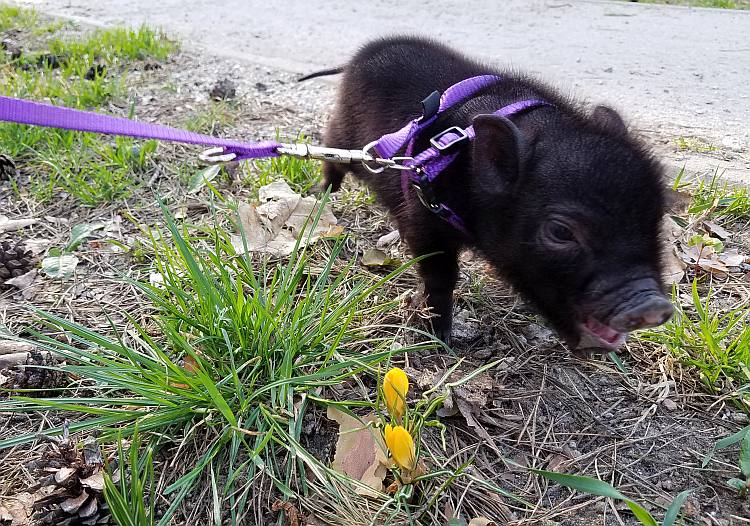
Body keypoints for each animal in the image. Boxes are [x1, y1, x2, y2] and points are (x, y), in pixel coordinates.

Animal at [301, 36, 673, 349]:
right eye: (560, 231)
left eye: (658, 216)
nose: (654, 304)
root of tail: (358, 57)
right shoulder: (424, 217)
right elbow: (441, 276)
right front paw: (441, 339)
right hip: (344, 135)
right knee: (331, 151)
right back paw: (323, 194)